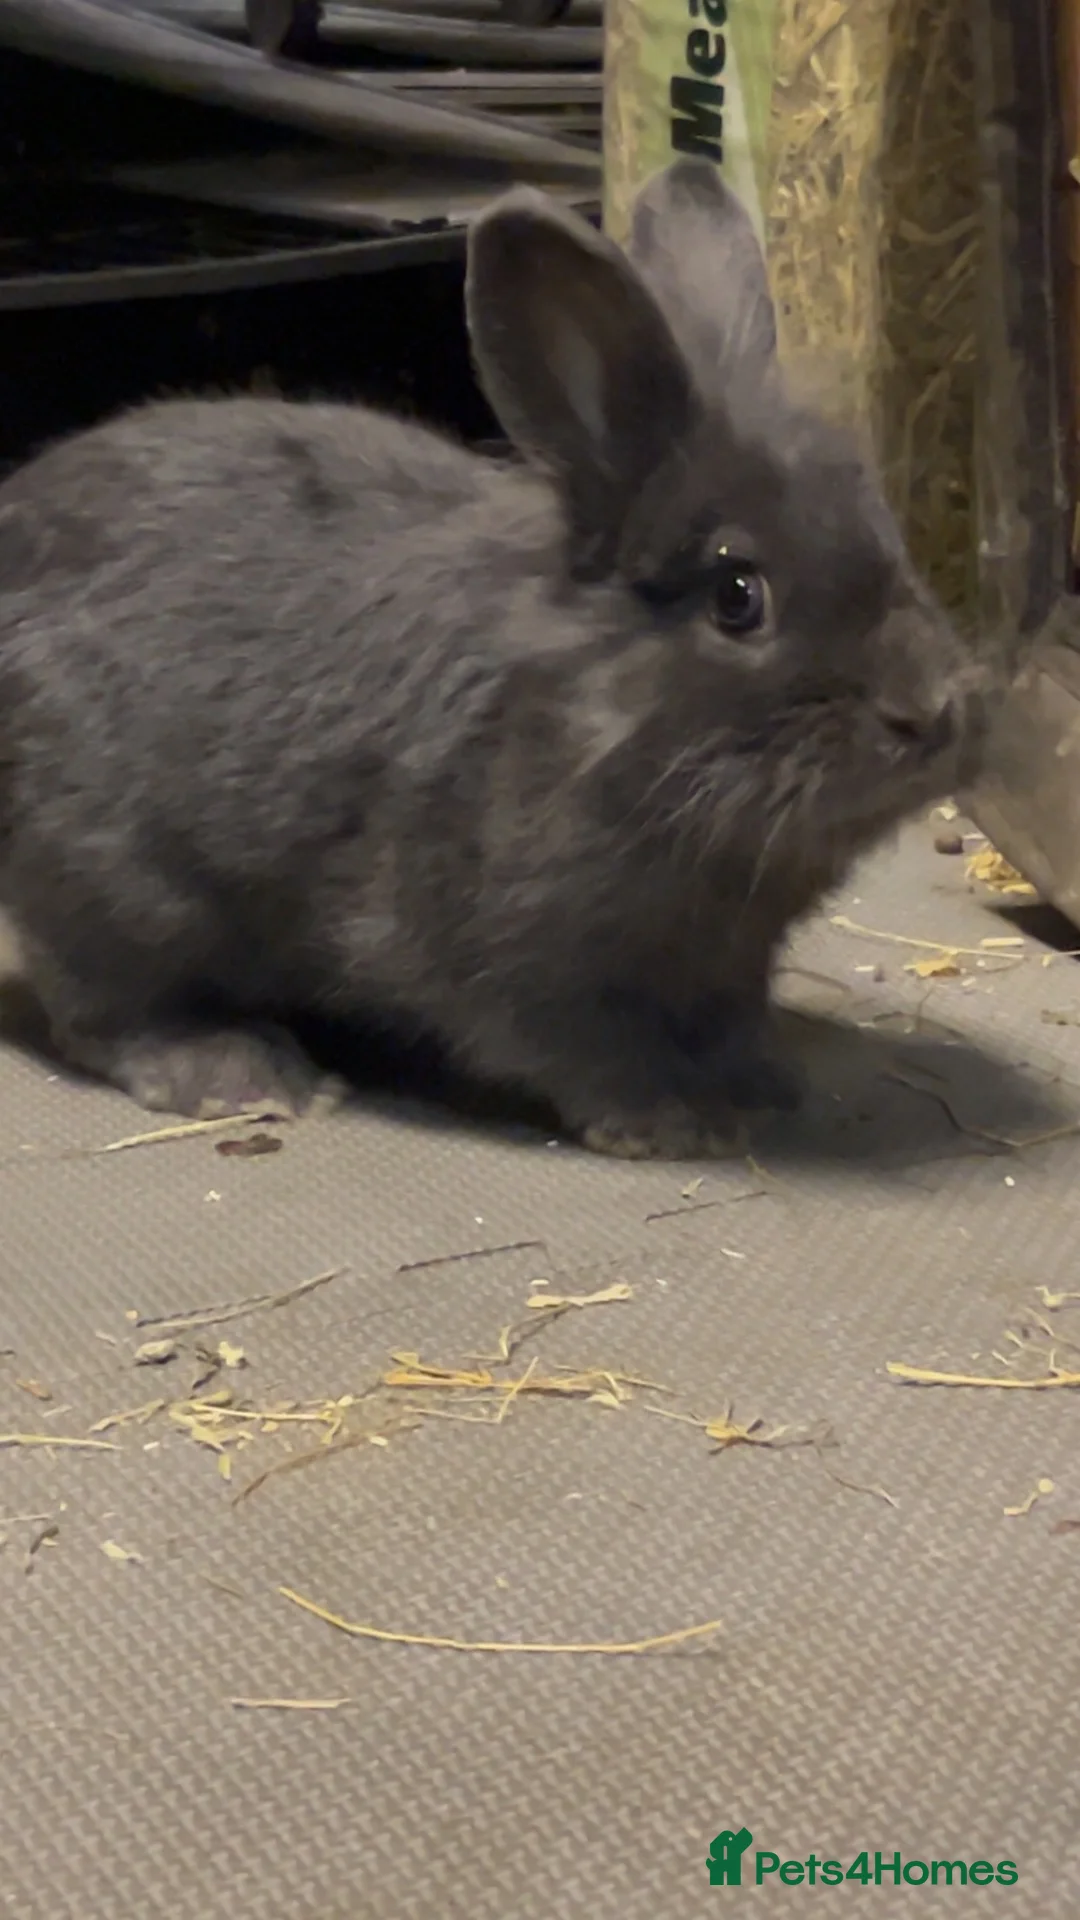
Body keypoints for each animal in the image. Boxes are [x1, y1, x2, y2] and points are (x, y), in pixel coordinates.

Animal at [0, 158, 981, 1160]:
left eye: (884, 530)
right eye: (738, 596)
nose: (932, 711)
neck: (588, 717)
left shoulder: (728, 969)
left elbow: (730, 1027)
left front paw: (766, 1091)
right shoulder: (514, 959)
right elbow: (576, 1047)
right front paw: (668, 1124)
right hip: (118, 888)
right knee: (106, 1006)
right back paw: (240, 1071)